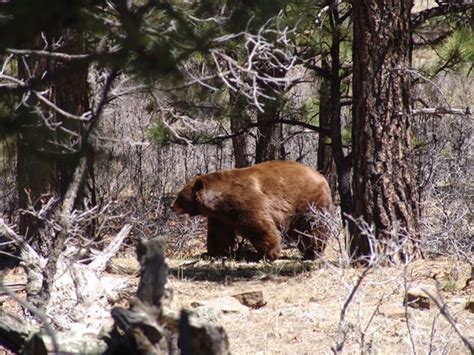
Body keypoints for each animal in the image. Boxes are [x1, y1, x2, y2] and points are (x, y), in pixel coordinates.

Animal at [171, 161, 334, 262]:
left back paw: (312, 252)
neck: (220, 199)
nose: (172, 207)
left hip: (309, 201)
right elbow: (219, 234)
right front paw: (212, 252)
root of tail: (322, 177)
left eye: (179, 197)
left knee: (313, 227)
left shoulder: (245, 202)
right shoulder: (221, 217)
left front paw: (268, 254)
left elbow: (257, 225)